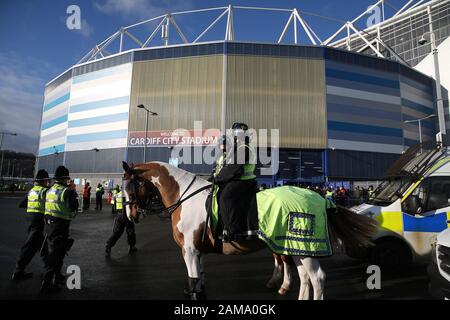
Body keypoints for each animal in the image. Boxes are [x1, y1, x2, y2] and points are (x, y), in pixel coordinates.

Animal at [121, 162, 378, 300]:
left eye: (130, 186)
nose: (131, 216)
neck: (184, 196)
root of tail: (319, 196)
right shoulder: (197, 251)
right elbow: (199, 278)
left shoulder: (190, 250)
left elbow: (194, 279)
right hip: (294, 246)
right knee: (304, 275)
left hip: (302, 247)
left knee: (318, 278)